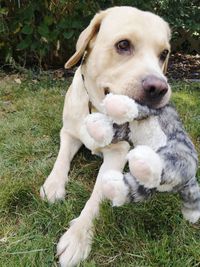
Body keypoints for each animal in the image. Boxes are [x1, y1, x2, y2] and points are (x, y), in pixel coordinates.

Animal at [40, 6, 170, 267]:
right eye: (123, 45)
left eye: (164, 54)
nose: (159, 88)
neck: (99, 114)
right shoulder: (68, 133)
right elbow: (61, 160)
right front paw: (53, 185)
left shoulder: (118, 154)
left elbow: (96, 197)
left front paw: (78, 237)